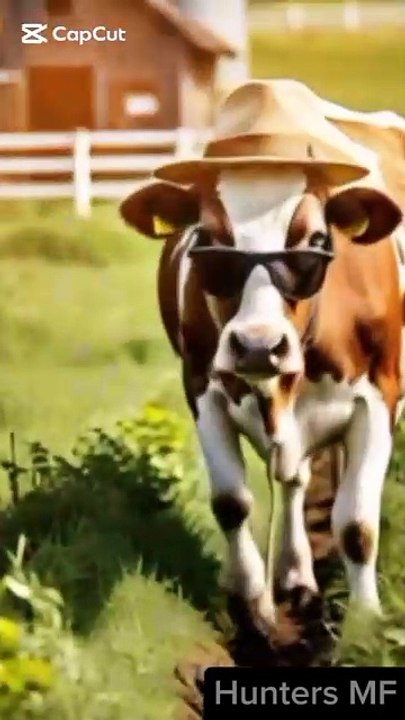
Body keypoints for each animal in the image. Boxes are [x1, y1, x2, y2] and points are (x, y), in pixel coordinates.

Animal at [119, 79, 405, 637]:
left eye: (316, 241)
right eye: (207, 242)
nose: (256, 344)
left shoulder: (380, 397)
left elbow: (356, 524)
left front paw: (364, 621)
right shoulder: (202, 390)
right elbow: (232, 503)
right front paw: (253, 604)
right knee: (292, 482)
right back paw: (294, 577)